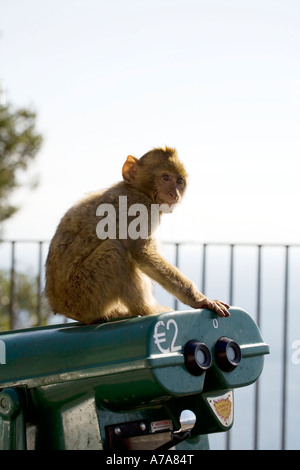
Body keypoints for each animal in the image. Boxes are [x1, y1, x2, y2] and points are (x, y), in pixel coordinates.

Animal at [44, 147, 230, 324]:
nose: (175, 194)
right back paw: (147, 309)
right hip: (83, 294)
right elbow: (142, 253)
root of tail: (58, 306)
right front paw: (199, 300)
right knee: (115, 252)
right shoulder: (142, 209)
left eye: (179, 181)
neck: (138, 189)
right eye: (165, 177)